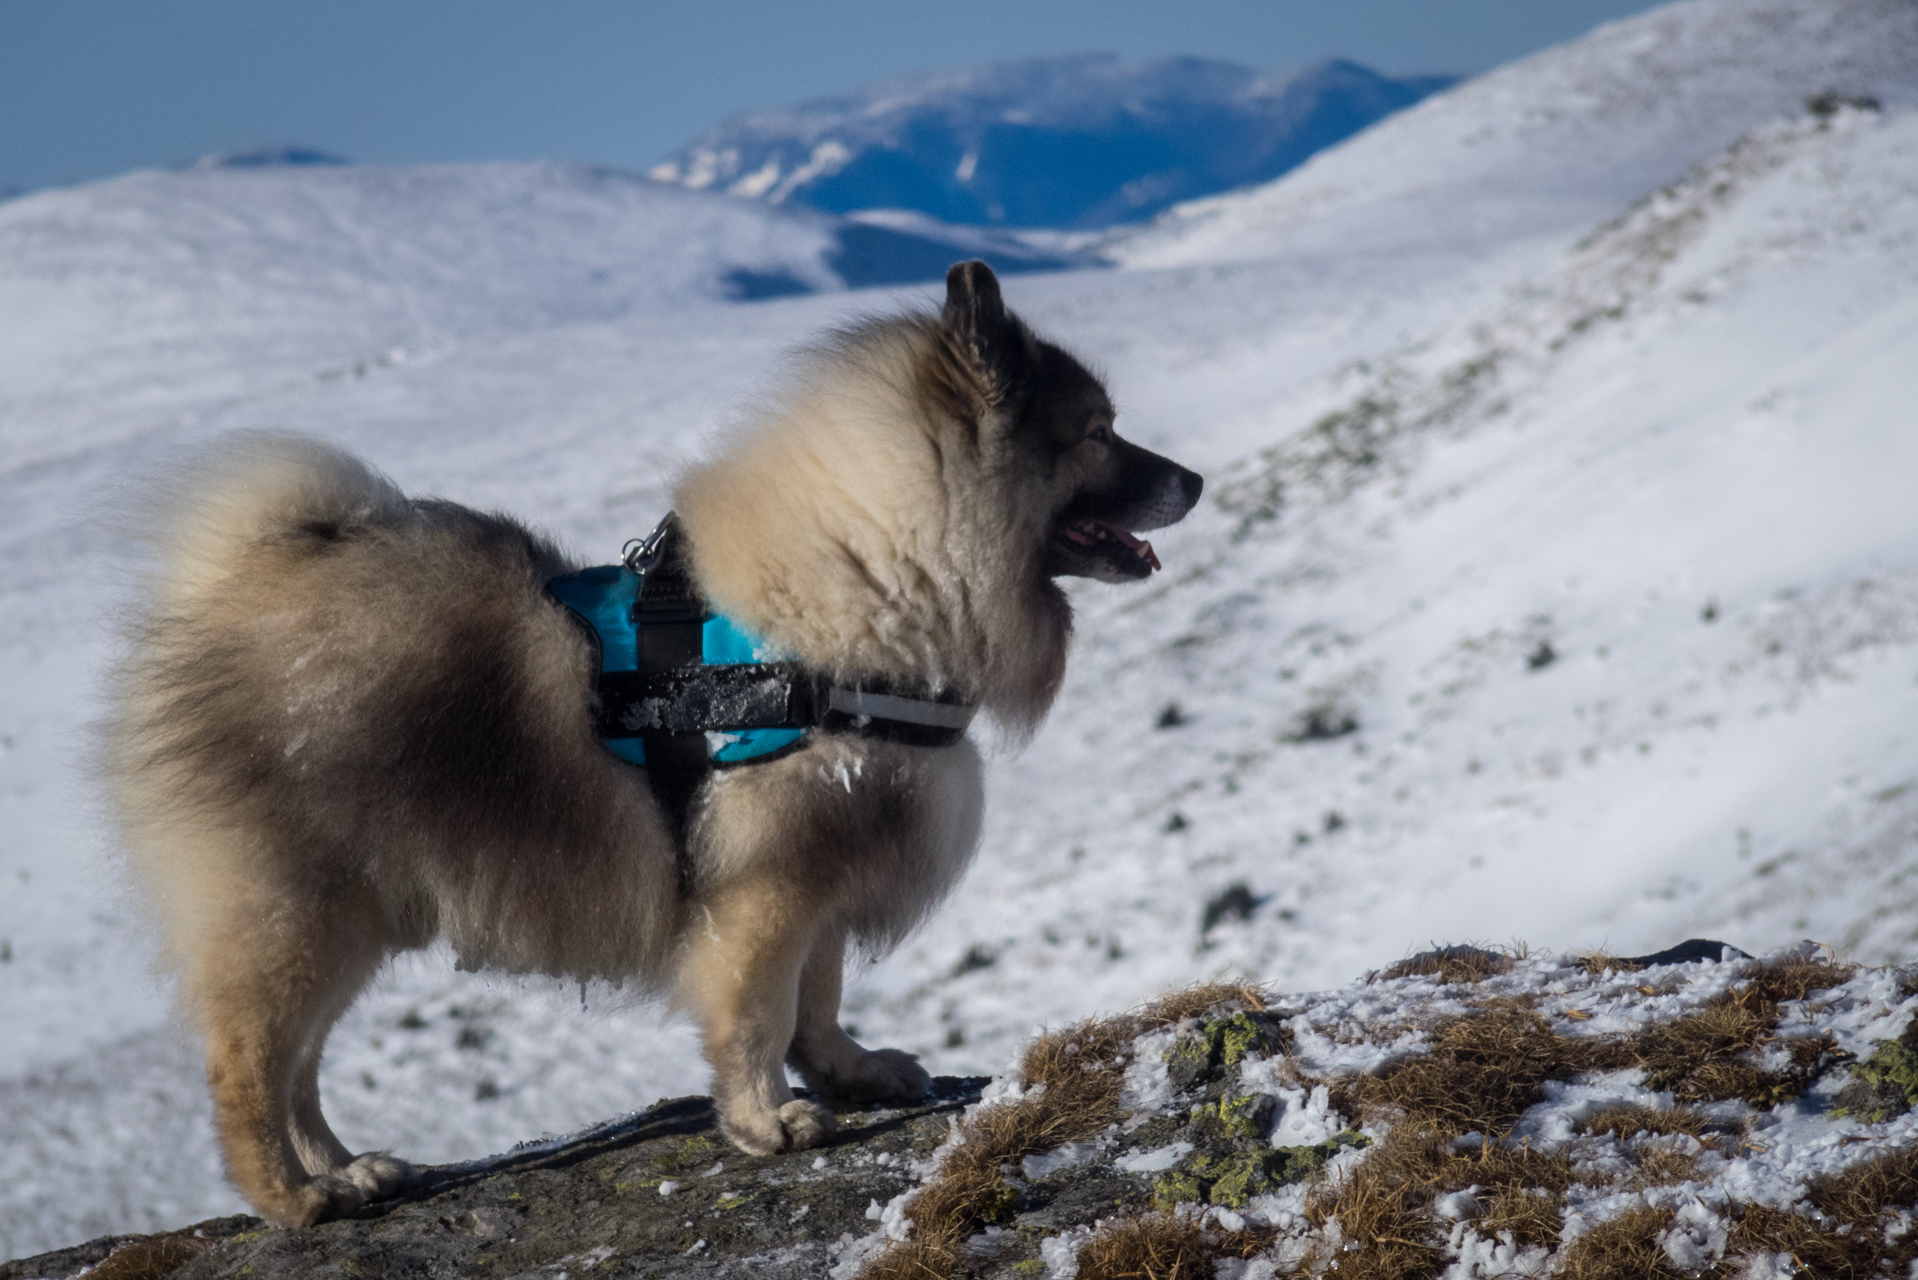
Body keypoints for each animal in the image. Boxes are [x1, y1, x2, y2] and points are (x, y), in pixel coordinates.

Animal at [108, 262, 1196, 1228]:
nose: (1190, 478)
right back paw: (294, 1197)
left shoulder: (824, 873)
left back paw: (350, 1170)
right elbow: (758, 1011)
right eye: (1098, 433)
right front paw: (767, 1120)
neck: (871, 584)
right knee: (249, 1067)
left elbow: (820, 993)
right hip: (302, 914)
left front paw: (849, 1071)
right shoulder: (764, 889)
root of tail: (246, 584)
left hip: (350, 918)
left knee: (298, 1068)